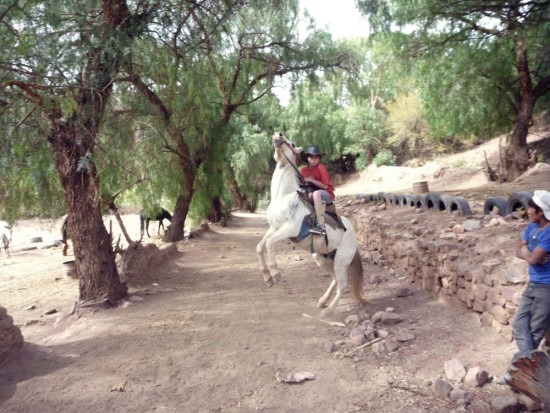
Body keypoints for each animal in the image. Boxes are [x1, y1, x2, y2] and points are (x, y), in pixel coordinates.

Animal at [258, 132, 368, 316]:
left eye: (292, 143)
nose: (277, 134)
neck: (283, 197)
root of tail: (353, 236)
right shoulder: (274, 228)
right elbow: (260, 246)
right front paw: (267, 278)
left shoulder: (290, 229)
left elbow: (270, 243)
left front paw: (275, 273)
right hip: (323, 258)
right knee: (334, 280)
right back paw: (322, 302)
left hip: (341, 261)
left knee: (342, 285)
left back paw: (327, 311)